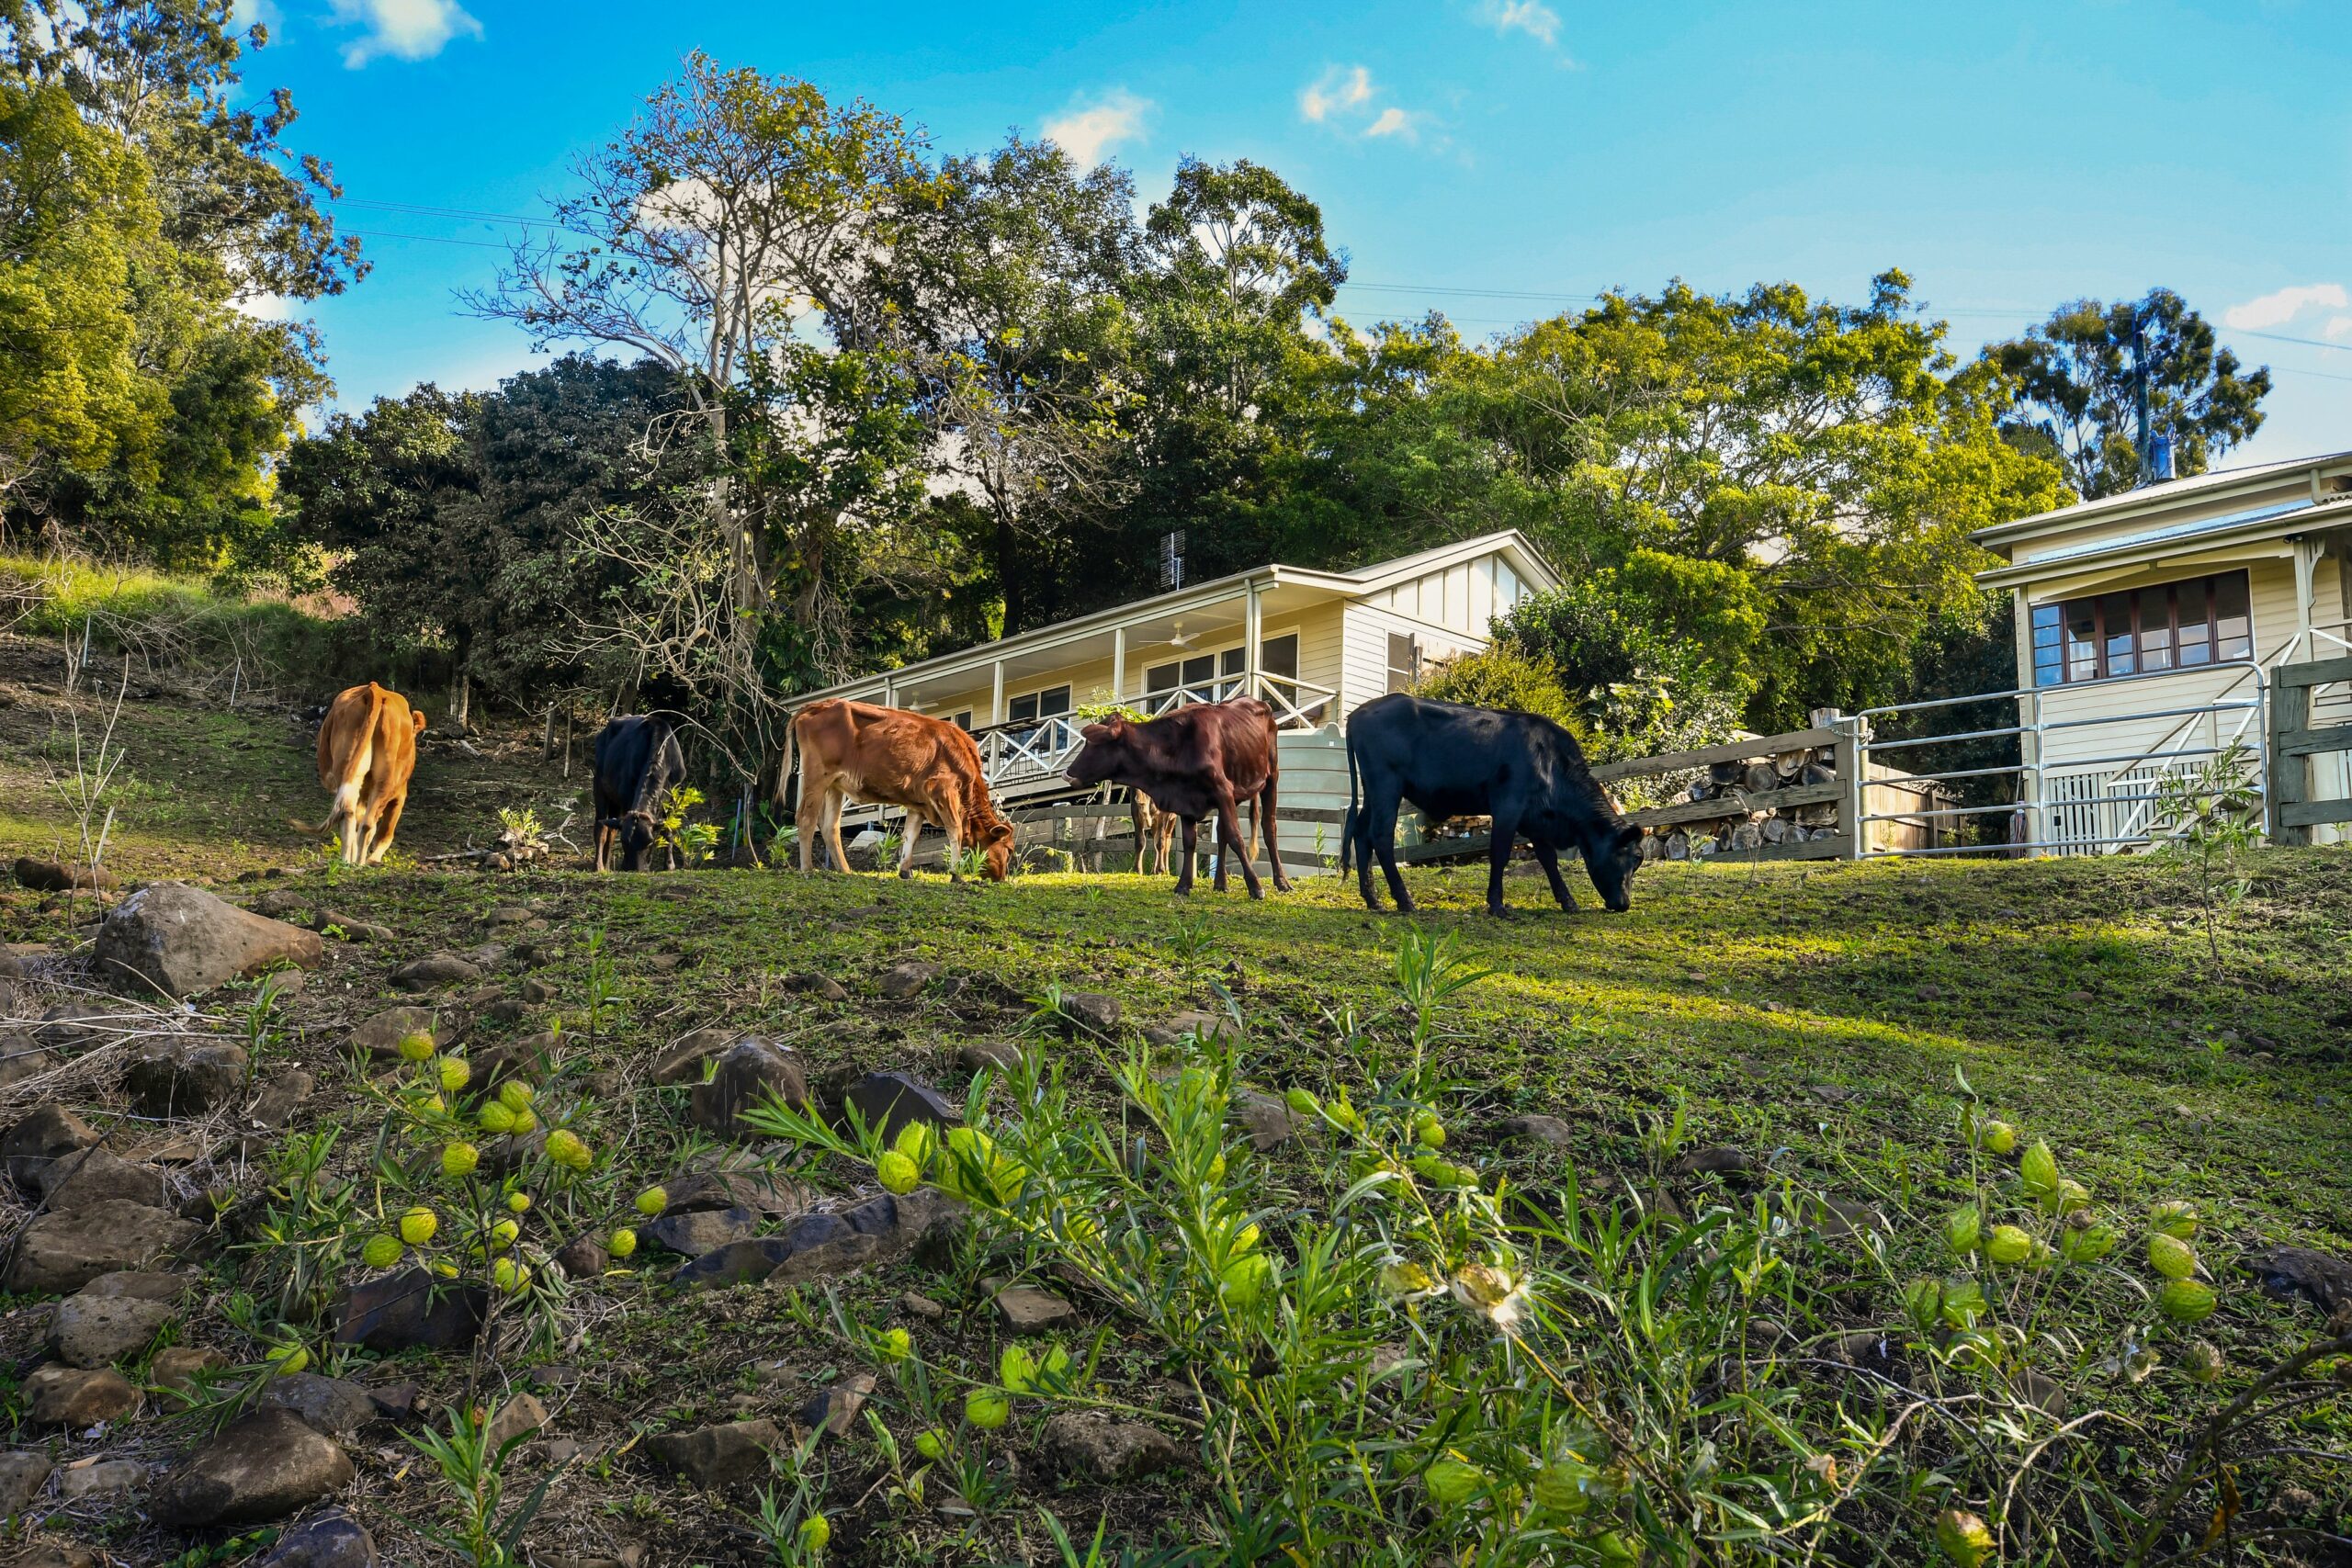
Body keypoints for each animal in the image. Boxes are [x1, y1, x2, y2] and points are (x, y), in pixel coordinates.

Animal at [315, 682, 425, 864]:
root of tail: (374, 688)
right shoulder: (400, 794)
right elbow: (385, 833)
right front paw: (373, 859)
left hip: (347, 768)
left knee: (348, 816)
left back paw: (346, 862)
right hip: (385, 779)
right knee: (368, 824)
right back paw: (361, 863)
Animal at [593, 719, 686, 879]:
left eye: (649, 842)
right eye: (624, 842)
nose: (633, 869)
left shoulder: (674, 795)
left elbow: (668, 830)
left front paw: (669, 865)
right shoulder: (625, 795)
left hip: (615, 803)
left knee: (611, 831)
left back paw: (607, 866)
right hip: (599, 787)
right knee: (601, 828)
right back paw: (599, 866)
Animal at [786, 700, 1015, 884]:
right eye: (1010, 849)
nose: (1002, 878)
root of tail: (817, 705)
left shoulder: (920, 803)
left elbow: (910, 835)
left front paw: (905, 871)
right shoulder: (942, 789)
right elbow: (955, 829)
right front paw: (956, 874)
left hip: (835, 784)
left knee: (830, 827)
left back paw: (845, 870)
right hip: (817, 776)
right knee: (806, 818)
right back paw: (807, 869)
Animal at [1336, 695, 1646, 921]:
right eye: (1633, 857)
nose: (1624, 904)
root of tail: (1361, 711)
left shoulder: (1535, 817)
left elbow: (1548, 859)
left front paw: (1568, 901)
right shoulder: (1509, 805)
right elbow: (1500, 853)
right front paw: (1497, 905)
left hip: (1373, 791)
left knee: (1361, 833)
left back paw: (1373, 899)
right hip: (1386, 785)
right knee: (1381, 836)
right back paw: (1404, 900)